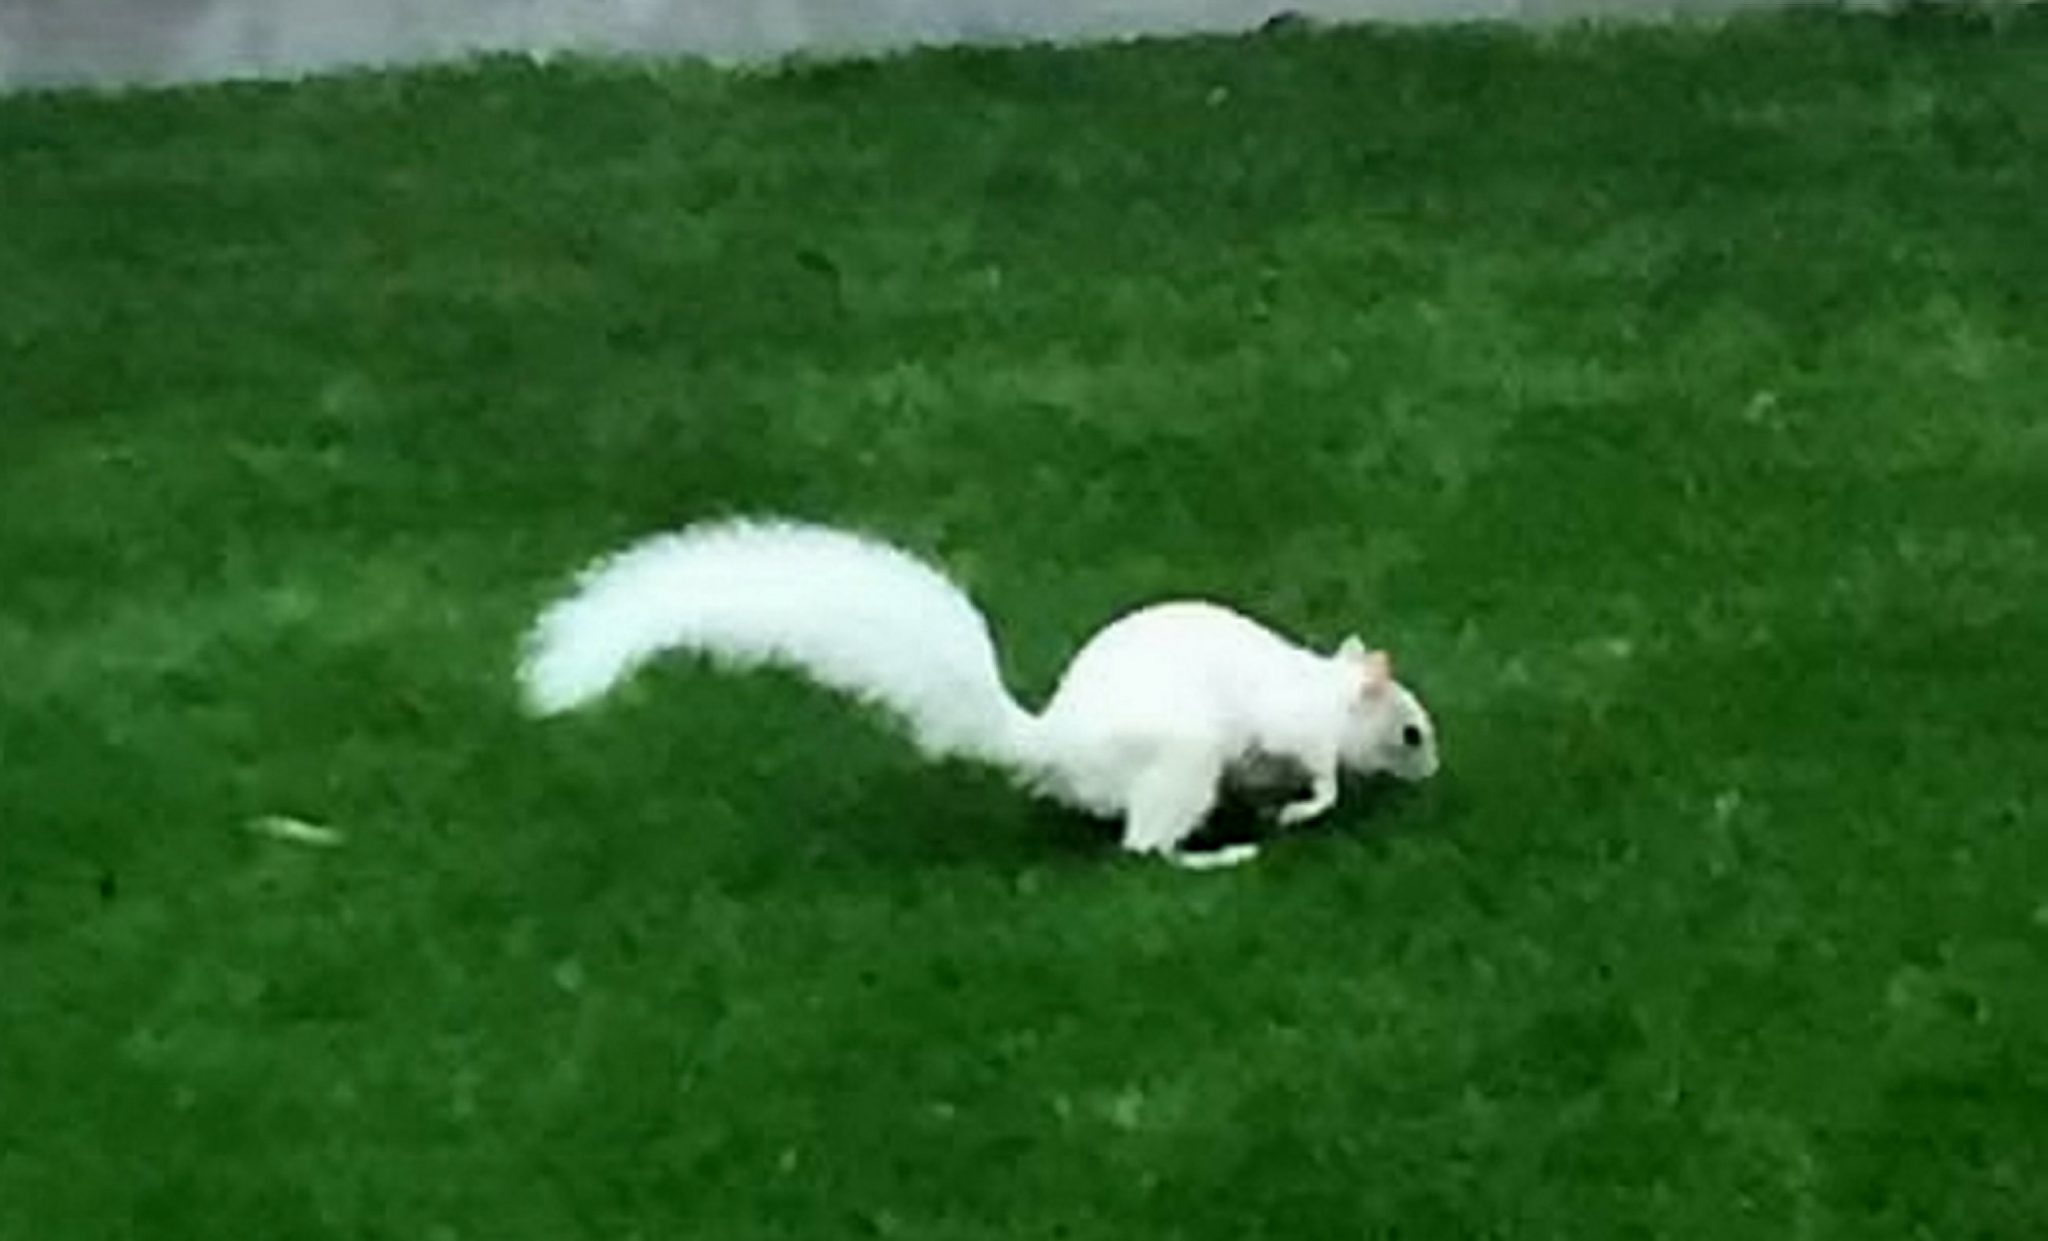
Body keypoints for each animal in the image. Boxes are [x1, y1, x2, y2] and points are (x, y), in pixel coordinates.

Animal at [517, 518, 1440, 869]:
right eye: (1411, 733)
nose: (1433, 771)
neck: (1326, 690)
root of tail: (1053, 744)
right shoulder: (1298, 729)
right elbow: (1319, 779)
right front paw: (1304, 808)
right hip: (1180, 762)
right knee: (1143, 848)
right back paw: (1216, 854)